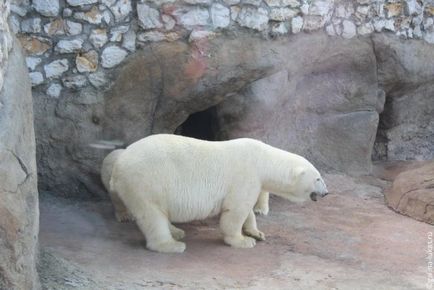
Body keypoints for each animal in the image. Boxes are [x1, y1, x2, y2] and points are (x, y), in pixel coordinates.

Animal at [103, 135, 328, 253]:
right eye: (318, 178)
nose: (326, 192)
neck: (263, 159)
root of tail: (120, 162)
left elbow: (247, 210)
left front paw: (257, 233)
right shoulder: (245, 174)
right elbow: (235, 212)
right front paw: (243, 241)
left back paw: (177, 232)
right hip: (145, 181)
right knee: (151, 215)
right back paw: (172, 244)